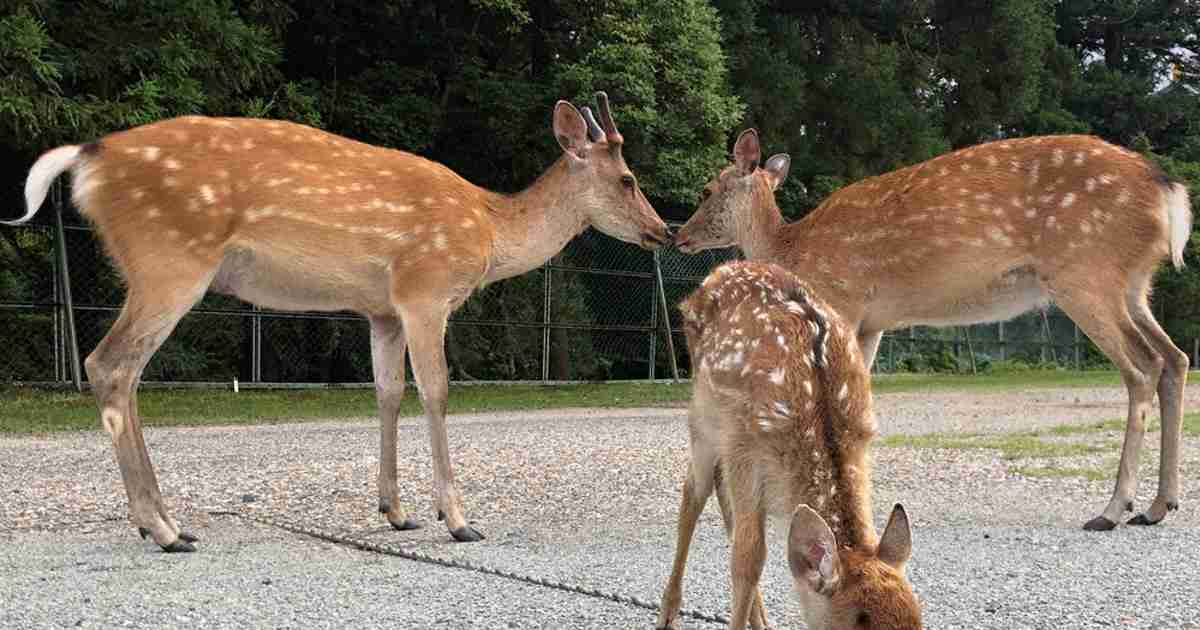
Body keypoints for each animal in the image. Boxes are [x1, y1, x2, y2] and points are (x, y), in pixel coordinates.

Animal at [5, 92, 670, 552]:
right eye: (628, 178)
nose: (663, 231)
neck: (488, 229)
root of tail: (87, 158)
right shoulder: (426, 290)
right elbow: (437, 392)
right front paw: (458, 519)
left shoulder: (382, 310)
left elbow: (387, 392)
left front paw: (395, 511)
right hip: (170, 260)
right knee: (109, 364)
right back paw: (163, 530)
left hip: (157, 267)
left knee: (123, 371)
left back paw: (165, 524)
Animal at [657, 261, 921, 630]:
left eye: (921, 620)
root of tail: (722, 269)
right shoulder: (745, 445)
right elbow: (748, 558)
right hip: (704, 415)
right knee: (695, 491)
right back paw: (668, 614)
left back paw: (759, 619)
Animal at [674, 128, 1193, 532]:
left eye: (706, 189)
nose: (678, 235)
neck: (792, 247)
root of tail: (1168, 193)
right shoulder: (871, 324)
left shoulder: (843, 301)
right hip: (1133, 284)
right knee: (1175, 358)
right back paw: (1158, 506)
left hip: (1085, 270)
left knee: (1143, 367)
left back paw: (1113, 508)